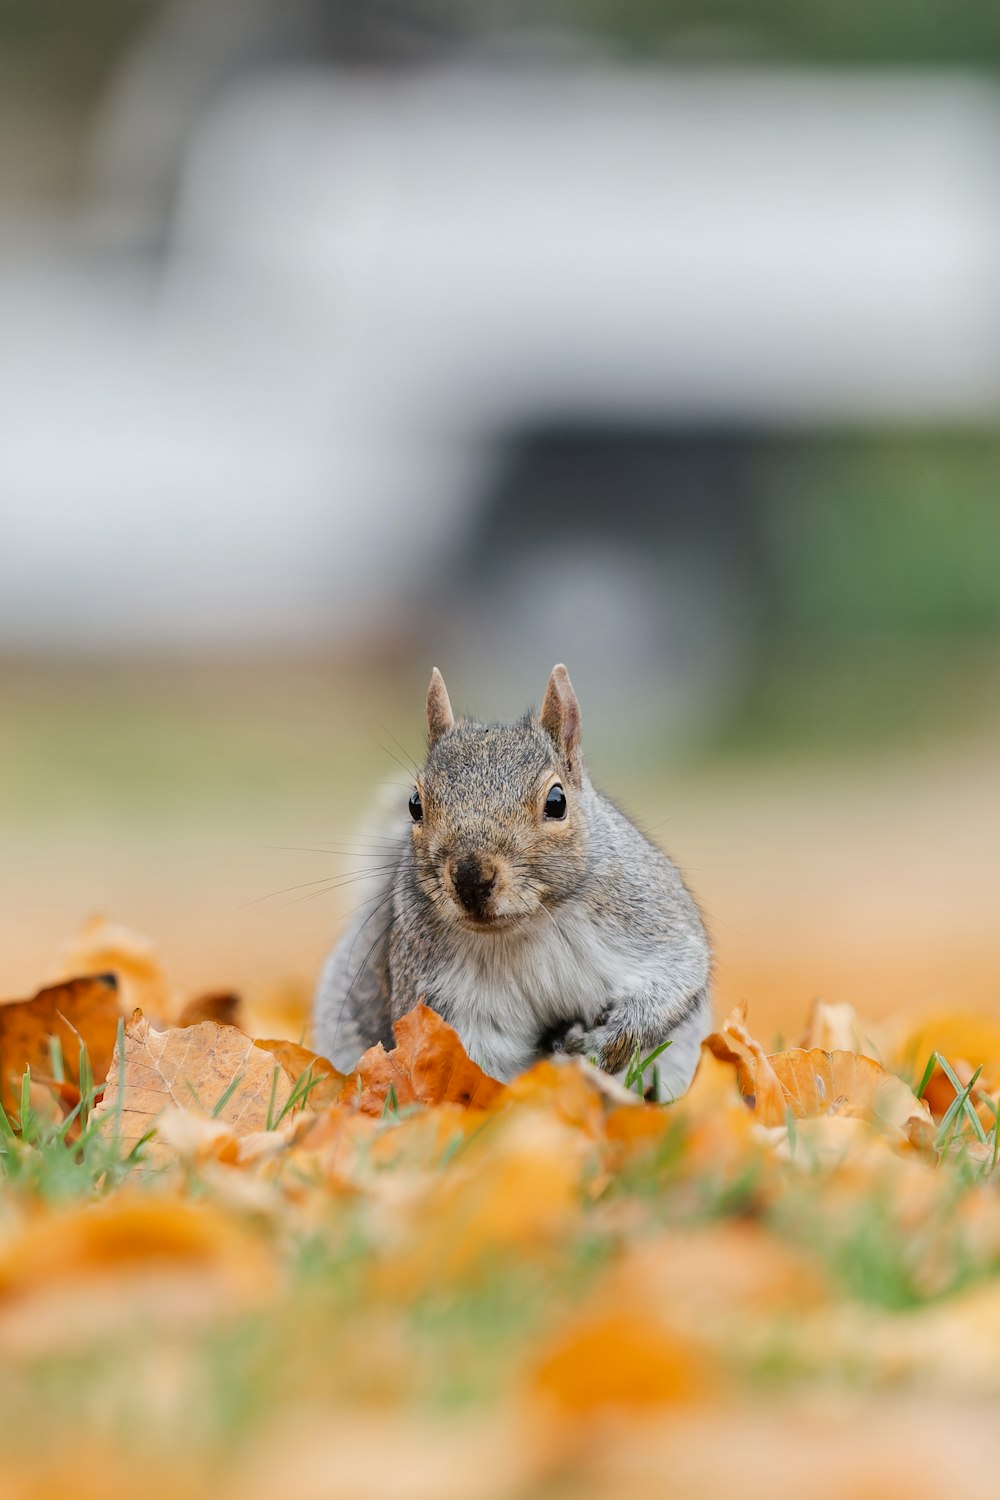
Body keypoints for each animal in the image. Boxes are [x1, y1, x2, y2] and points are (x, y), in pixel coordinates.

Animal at [313, 669, 710, 1104]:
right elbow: (473, 1065)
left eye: (557, 801)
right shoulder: (446, 997)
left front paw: (601, 1047)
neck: (527, 925)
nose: (471, 878)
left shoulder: (646, 918)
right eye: (415, 804)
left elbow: (675, 978)